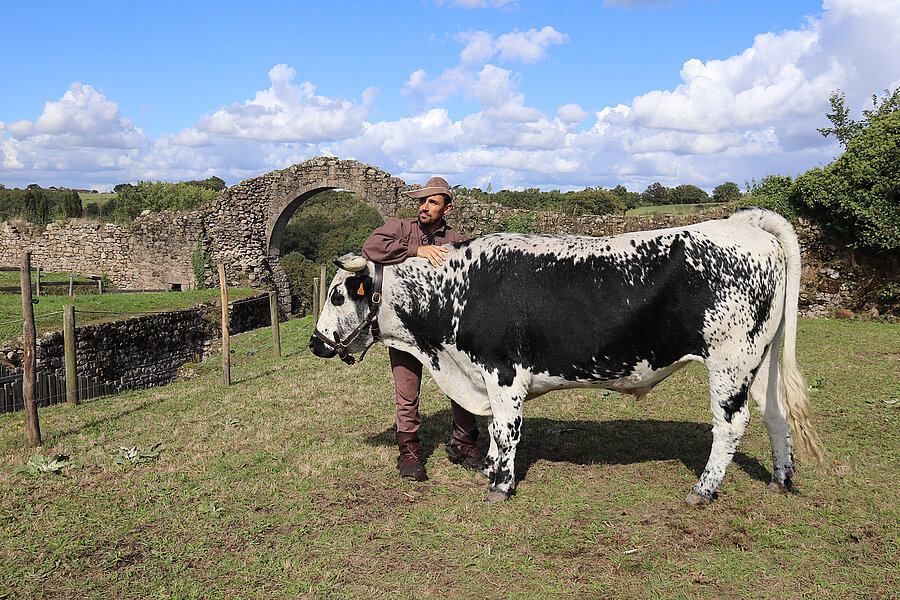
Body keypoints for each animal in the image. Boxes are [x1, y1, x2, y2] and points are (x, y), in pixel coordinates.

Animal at [310, 209, 824, 504]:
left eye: (337, 295)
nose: (316, 343)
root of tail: (745, 225)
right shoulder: (483, 377)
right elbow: (493, 432)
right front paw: (491, 470)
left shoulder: (503, 373)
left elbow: (506, 430)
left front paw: (500, 487)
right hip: (760, 360)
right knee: (774, 413)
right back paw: (781, 479)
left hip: (730, 362)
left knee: (730, 424)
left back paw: (703, 489)